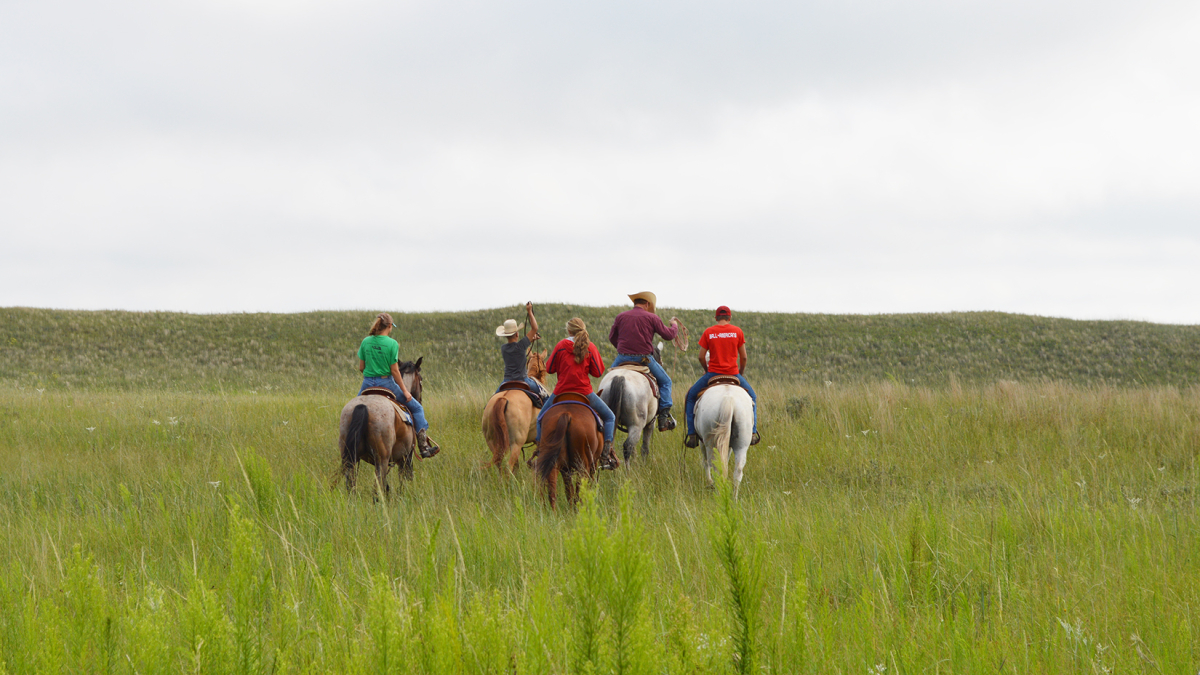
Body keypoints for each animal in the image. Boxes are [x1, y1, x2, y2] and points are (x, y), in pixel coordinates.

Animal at [338, 357, 427, 494]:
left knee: (351, 486)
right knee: (377, 487)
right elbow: (405, 480)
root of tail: (363, 406)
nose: (420, 399)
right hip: (382, 460)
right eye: (421, 379)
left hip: (350, 458)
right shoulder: (406, 457)